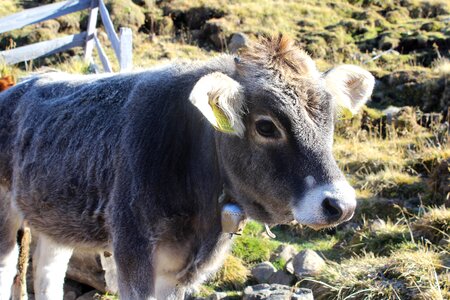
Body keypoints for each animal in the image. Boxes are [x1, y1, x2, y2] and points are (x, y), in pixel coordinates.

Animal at [0, 35, 374, 300]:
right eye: (266, 126)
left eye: (330, 119)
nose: (340, 204)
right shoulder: (133, 253)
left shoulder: (179, 272)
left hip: (54, 217)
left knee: (47, 274)